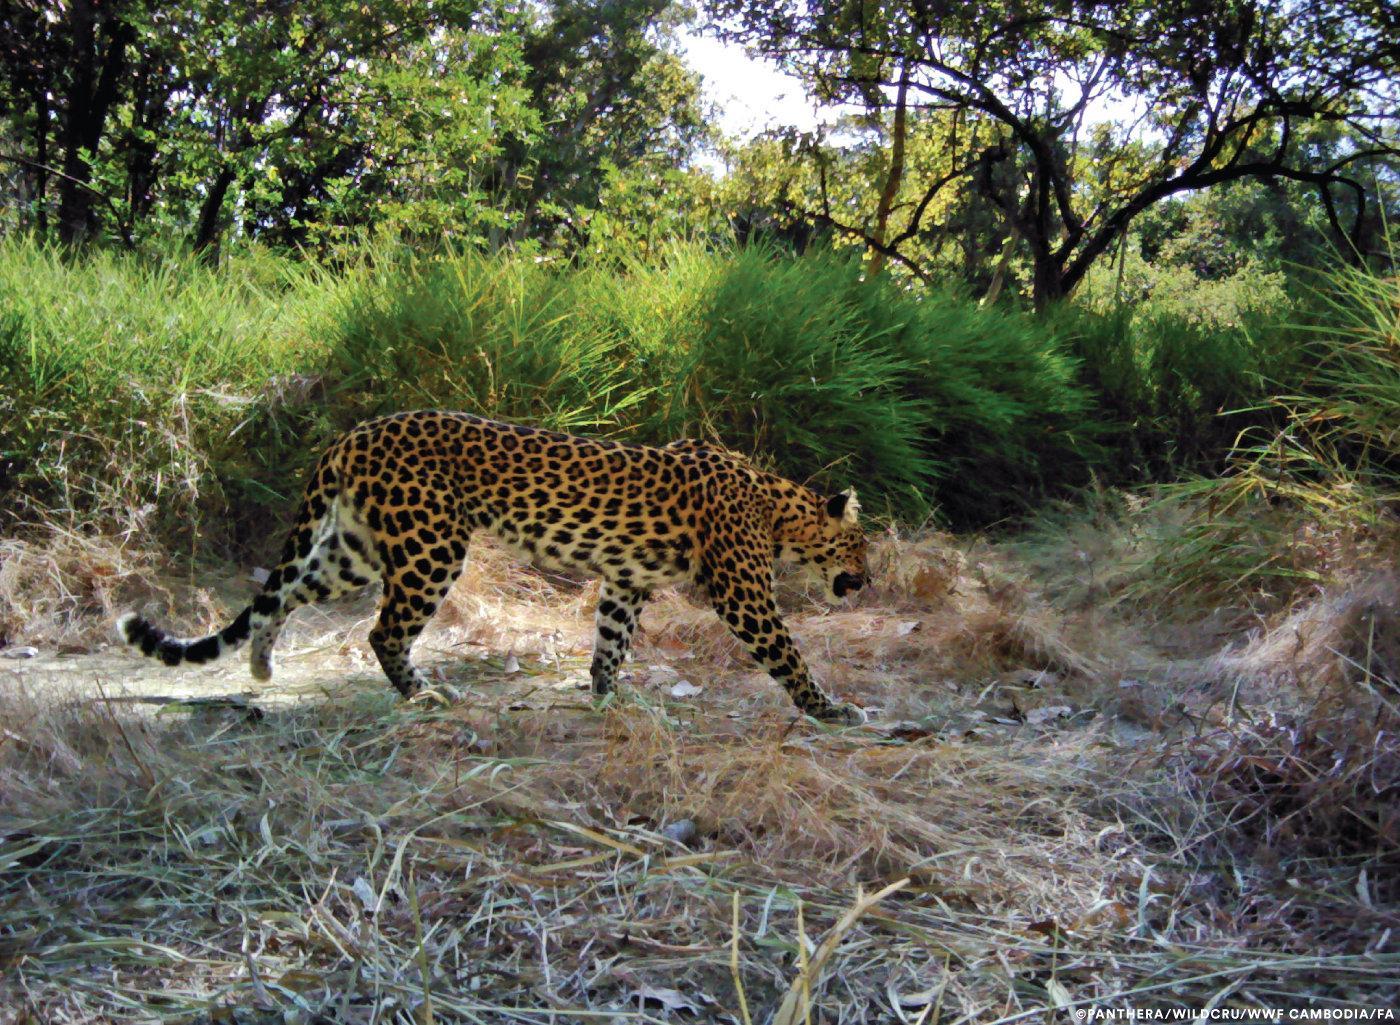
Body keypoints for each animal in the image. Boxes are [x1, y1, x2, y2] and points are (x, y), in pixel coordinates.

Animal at [114, 408, 868, 722]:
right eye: (860, 549)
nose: (867, 581)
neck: (778, 508)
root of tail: (354, 432)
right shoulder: (744, 593)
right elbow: (788, 654)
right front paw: (831, 709)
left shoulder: (626, 581)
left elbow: (610, 641)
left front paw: (605, 697)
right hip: (431, 545)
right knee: (383, 630)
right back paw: (422, 696)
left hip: (355, 549)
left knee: (286, 594)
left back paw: (264, 662)